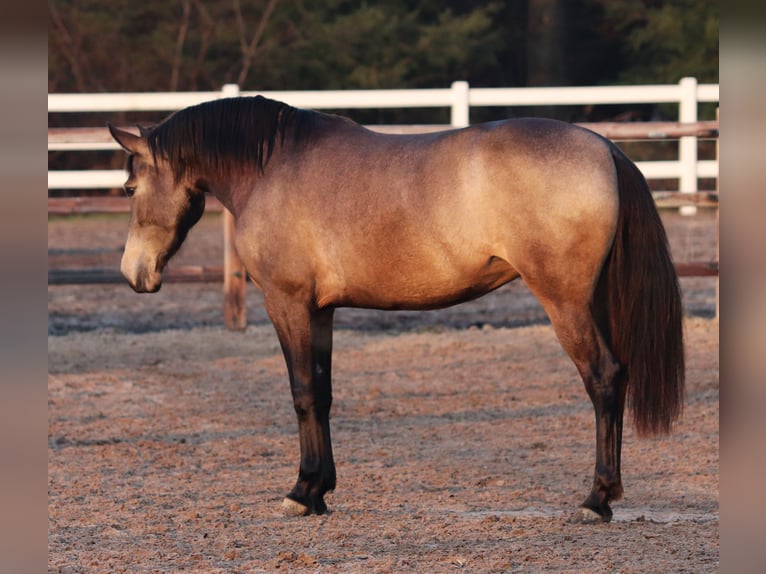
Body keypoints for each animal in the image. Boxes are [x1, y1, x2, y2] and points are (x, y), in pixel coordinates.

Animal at [106, 95, 684, 528]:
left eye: (130, 188)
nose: (134, 273)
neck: (272, 167)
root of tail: (604, 147)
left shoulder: (287, 303)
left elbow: (301, 393)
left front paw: (300, 491)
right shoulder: (321, 311)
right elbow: (322, 394)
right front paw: (320, 490)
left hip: (565, 302)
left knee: (604, 378)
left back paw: (596, 499)